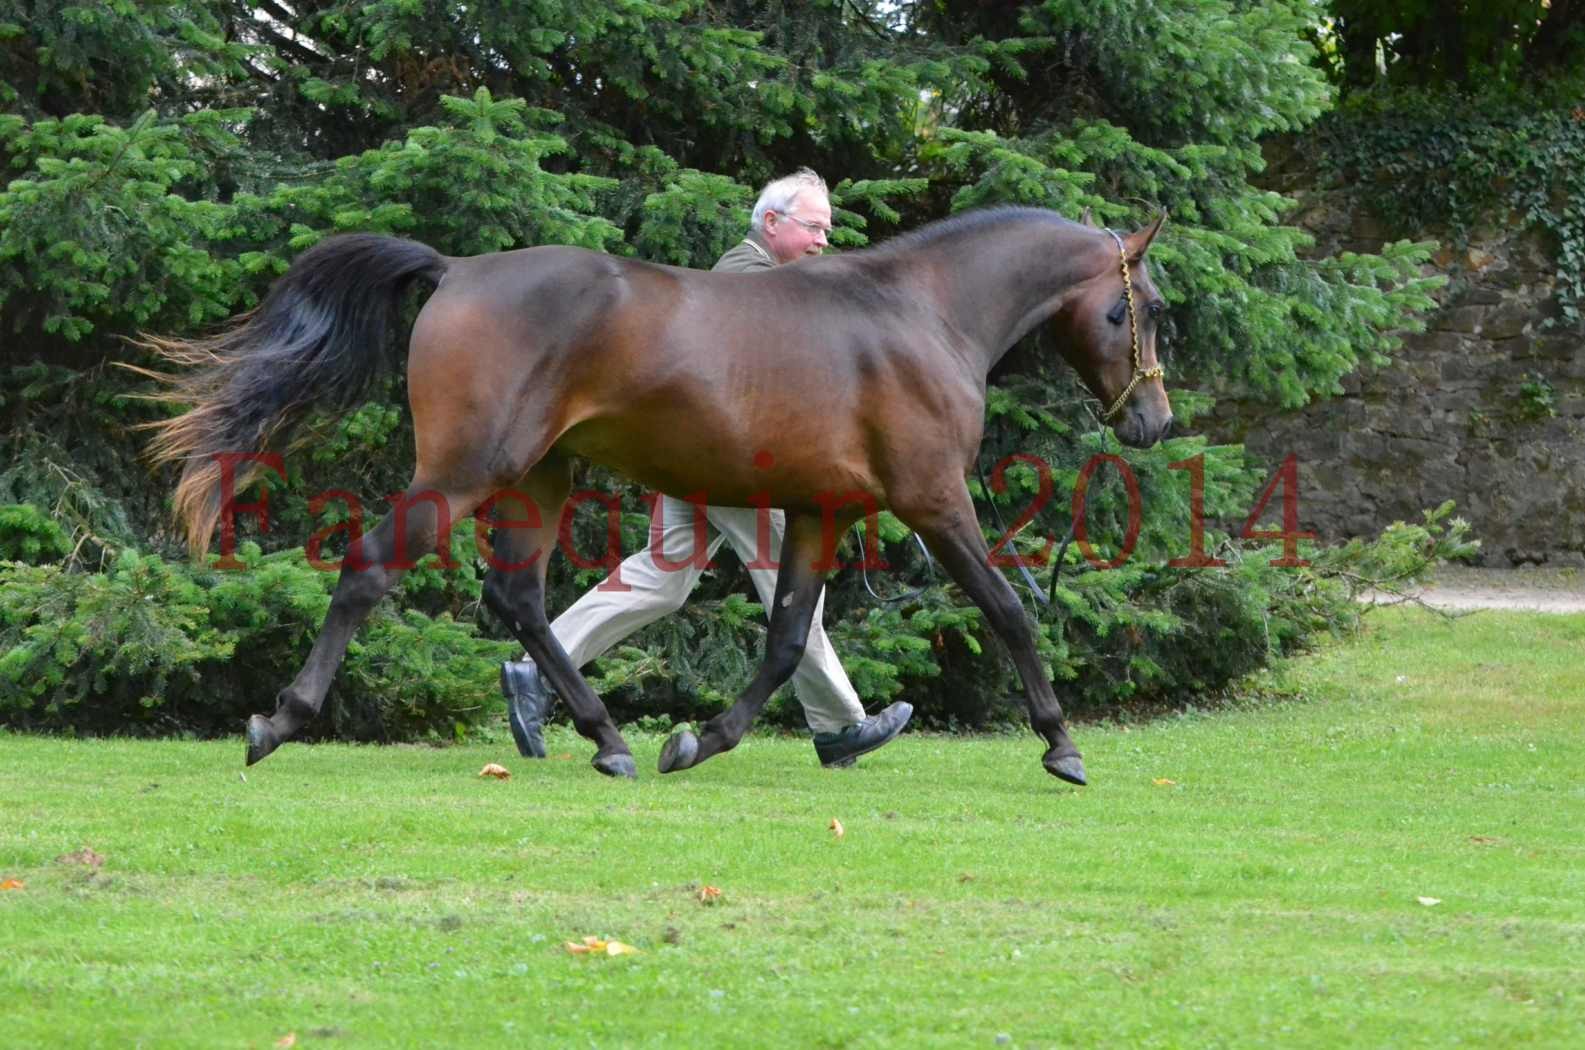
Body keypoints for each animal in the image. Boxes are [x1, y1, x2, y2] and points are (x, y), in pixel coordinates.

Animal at [142, 206, 1172, 786]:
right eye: (1149, 308)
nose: (1153, 420)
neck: (918, 313)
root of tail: (458, 271)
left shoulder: (818, 512)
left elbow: (787, 639)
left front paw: (701, 740)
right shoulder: (932, 501)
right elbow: (1008, 611)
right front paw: (1061, 747)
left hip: (540, 476)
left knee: (518, 600)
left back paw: (607, 740)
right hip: (468, 470)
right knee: (369, 570)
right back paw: (278, 723)